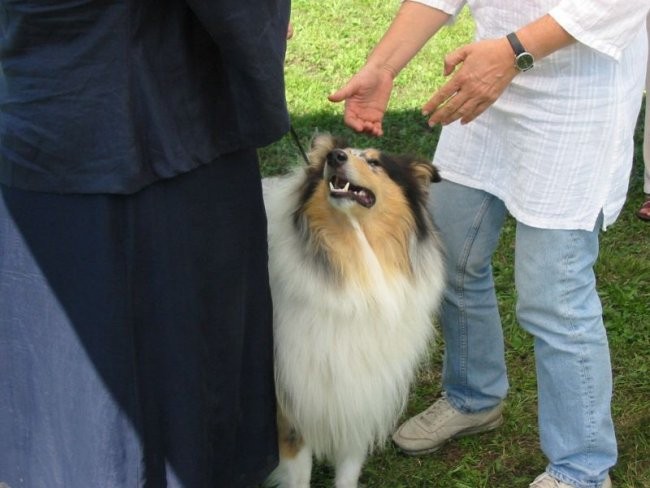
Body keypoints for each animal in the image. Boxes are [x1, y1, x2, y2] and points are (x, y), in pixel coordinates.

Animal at [264, 134, 446, 488]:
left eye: (374, 162)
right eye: (339, 154)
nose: (334, 157)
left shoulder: (359, 396)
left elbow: (348, 471)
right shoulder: (292, 411)